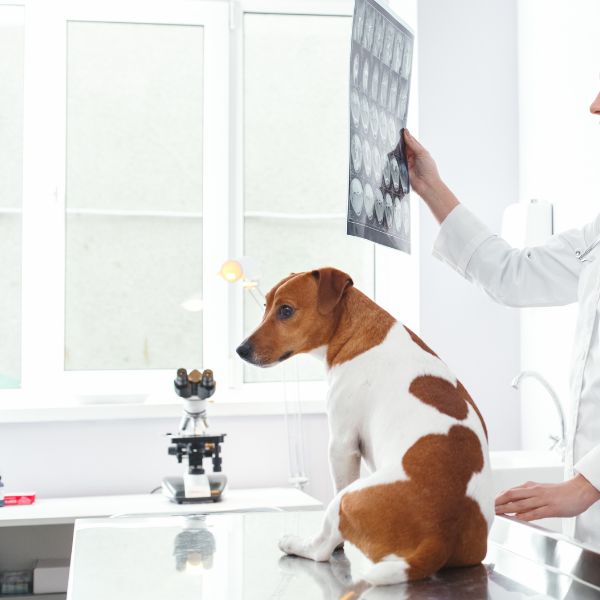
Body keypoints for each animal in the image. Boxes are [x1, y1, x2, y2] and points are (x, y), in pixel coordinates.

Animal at [234, 268, 492, 584]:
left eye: (285, 310)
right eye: (265, 306)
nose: (240, 350)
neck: (356, 331)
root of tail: (440, 535)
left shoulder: (342, 445)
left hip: (346, 498)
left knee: (321, 547)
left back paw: (296, 543)